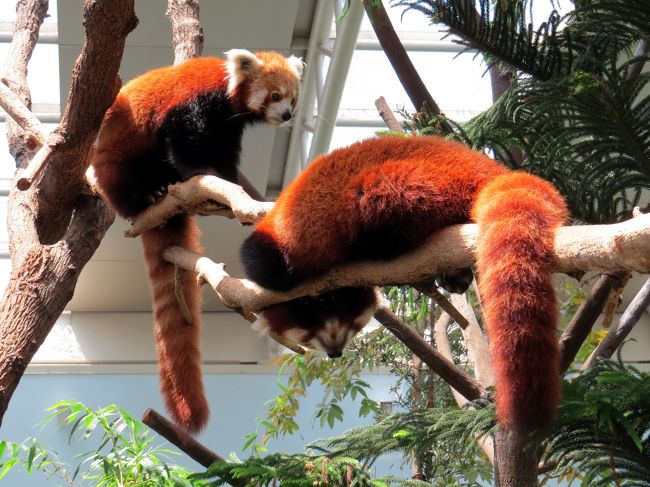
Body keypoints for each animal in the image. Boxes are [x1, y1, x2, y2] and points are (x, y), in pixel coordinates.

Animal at [90, 47, 302, 432]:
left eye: (292, 98)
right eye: (275, 95)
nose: (287, 114)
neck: (226, 94)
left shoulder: (228, 129)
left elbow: (223, 156)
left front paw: (227, 181)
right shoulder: (192, 106)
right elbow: (184, 143)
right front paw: (202, 173)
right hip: (115, 160)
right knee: (122, 175)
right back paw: (145, 196)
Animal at [242, 135, 568, 432]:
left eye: (353, 328)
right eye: (308, 339)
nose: (335, 352)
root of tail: (488, 168)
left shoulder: (283, 250)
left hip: (409, 182)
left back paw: (380, 245)